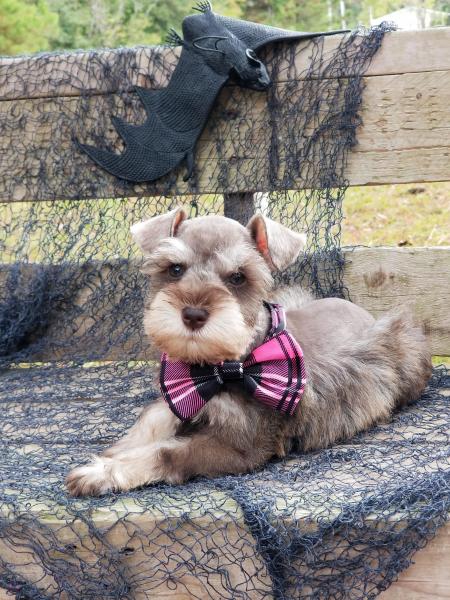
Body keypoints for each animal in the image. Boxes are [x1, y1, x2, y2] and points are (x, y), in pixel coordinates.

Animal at [66, 207, 428, 496]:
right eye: (175, 269)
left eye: (238, 277)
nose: (193, 315)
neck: (221, 368)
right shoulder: (184, 392)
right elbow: (154, 418)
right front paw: (116, 452)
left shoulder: (244, 445)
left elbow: (168, 452)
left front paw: (104, 472)